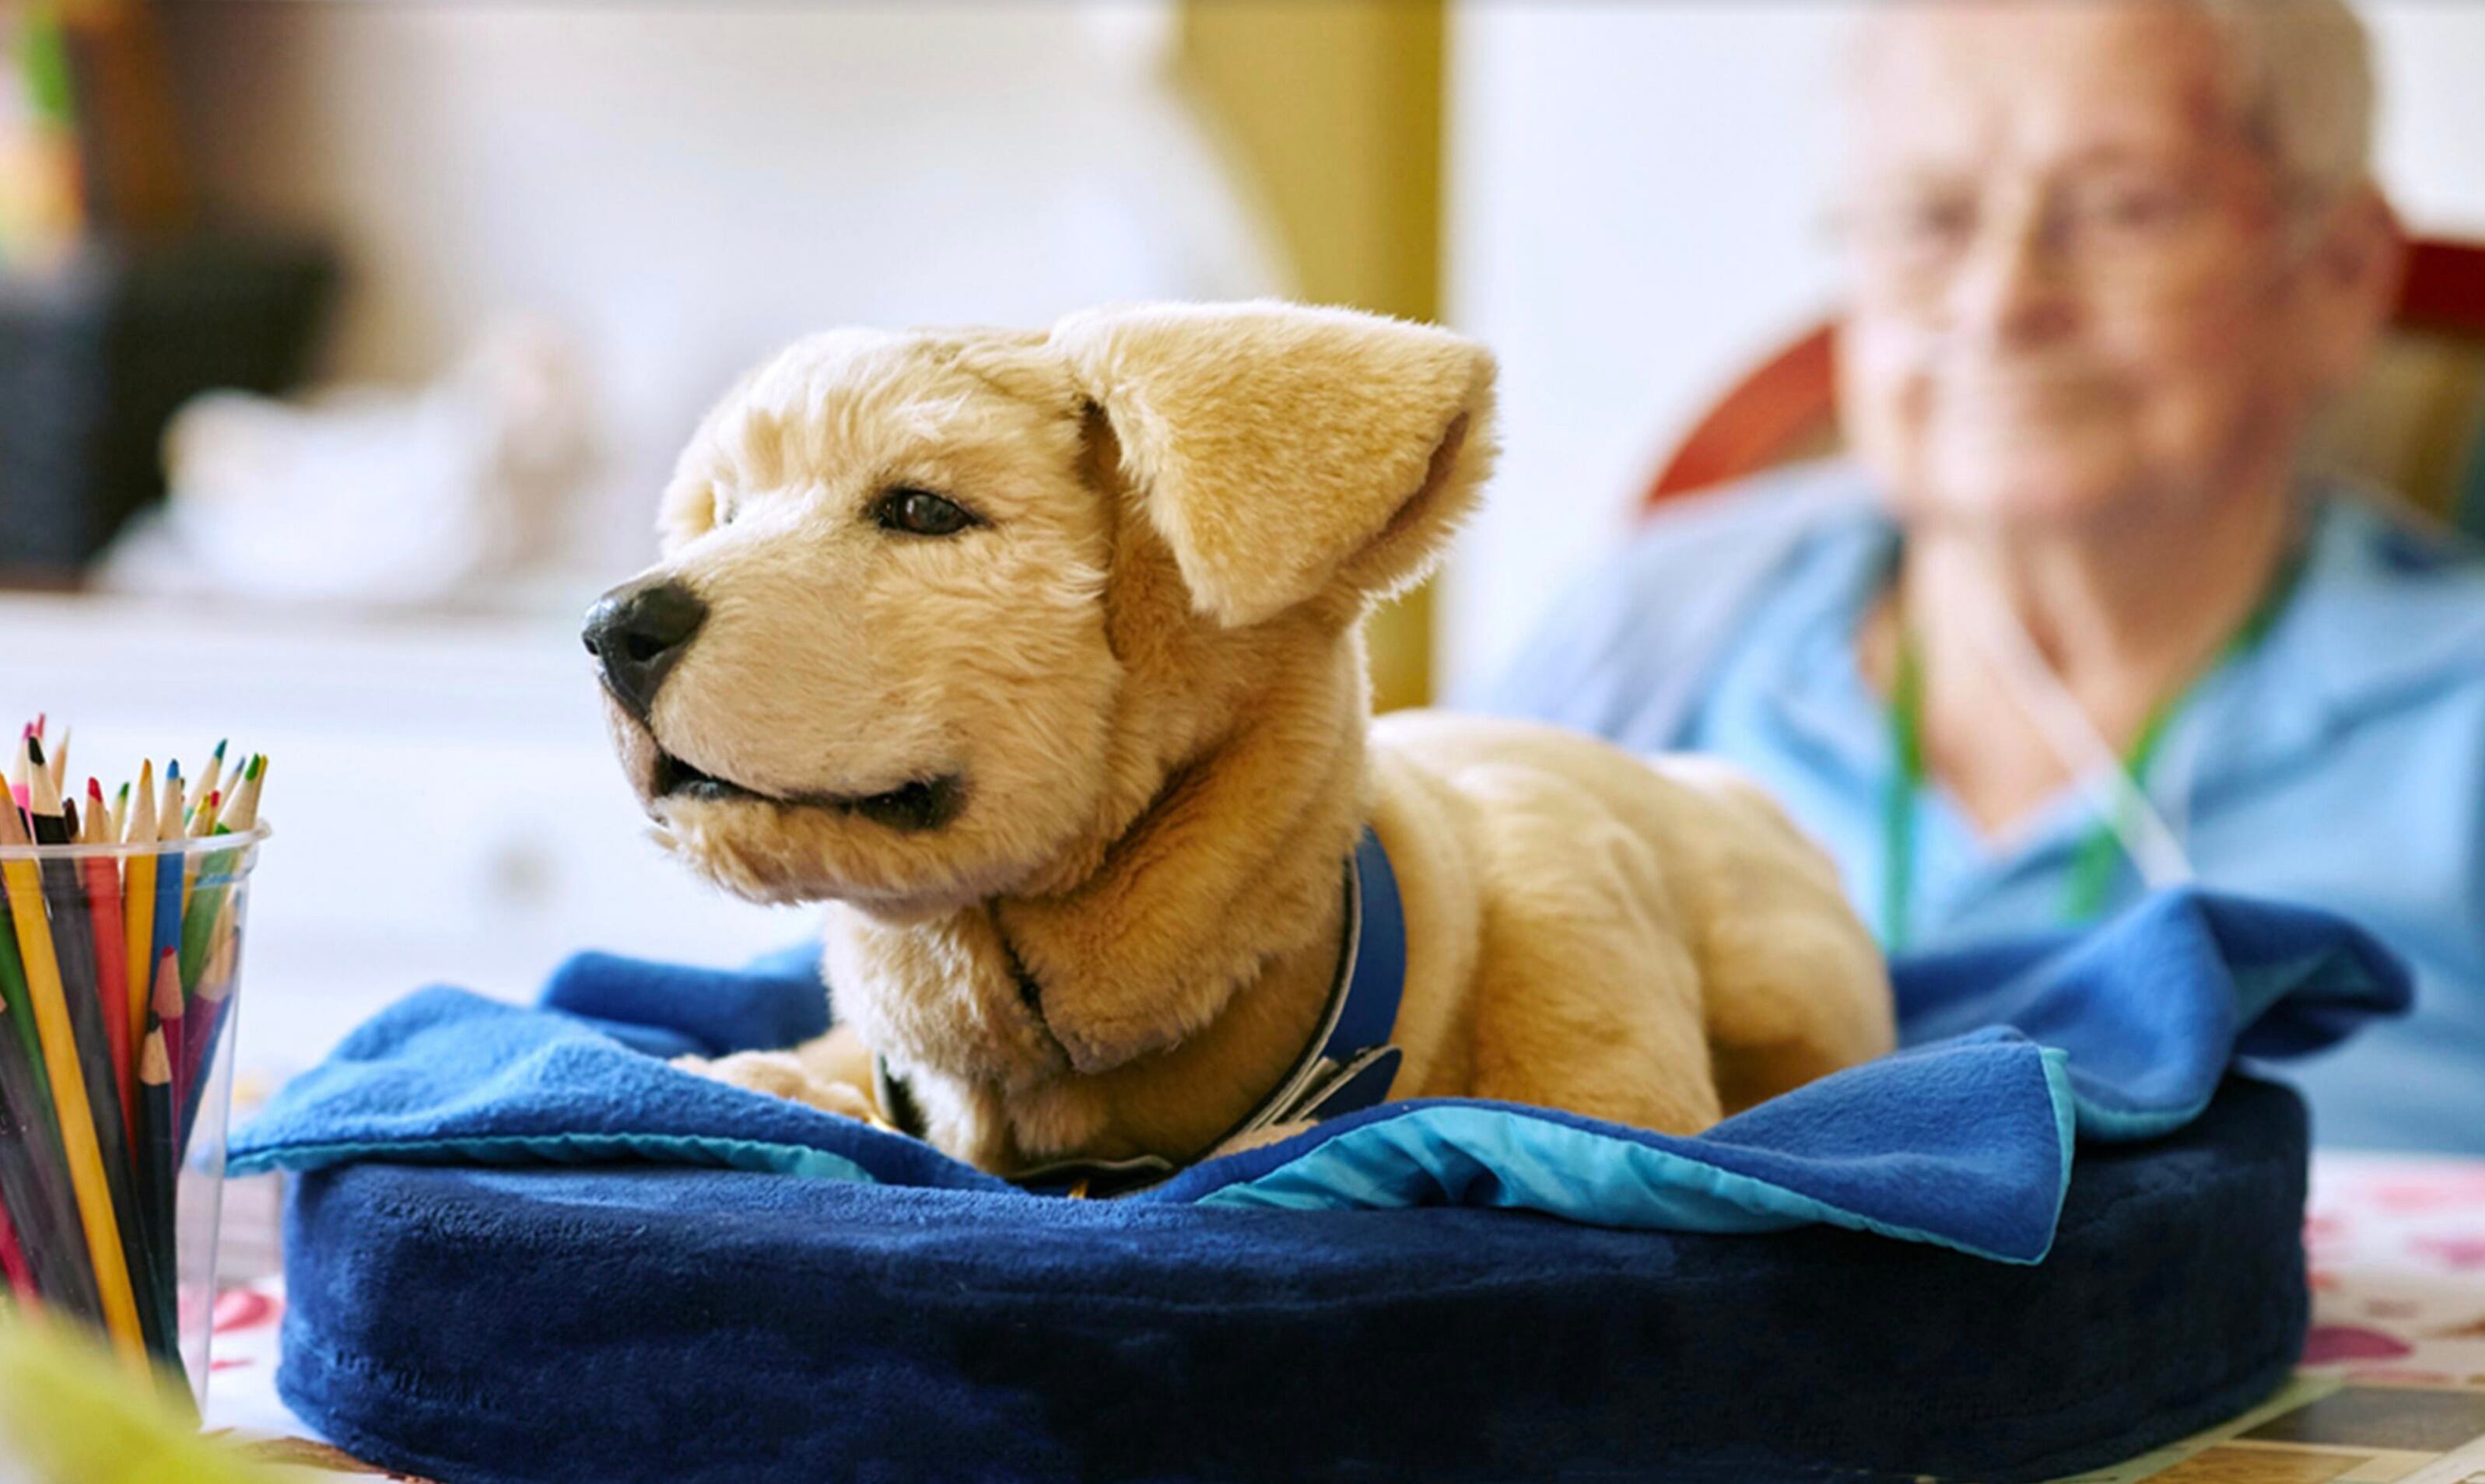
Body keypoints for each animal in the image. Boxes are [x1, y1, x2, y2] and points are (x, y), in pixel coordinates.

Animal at [586, 301, 1894, 1178]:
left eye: (921, 509)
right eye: (726, 514)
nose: (611, 630)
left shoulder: (1579, 947)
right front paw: (756, 1082)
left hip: (1785, 979)